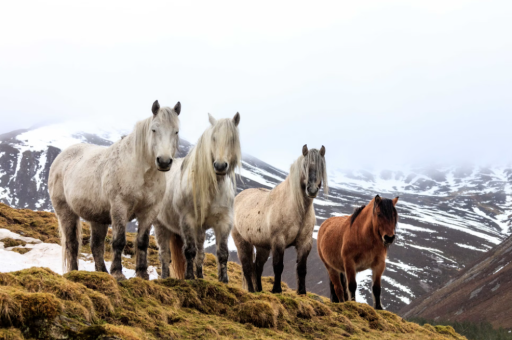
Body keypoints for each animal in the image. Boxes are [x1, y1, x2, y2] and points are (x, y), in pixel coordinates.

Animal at [46, 99, 182, 280]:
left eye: (176, 131)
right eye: (154, 129)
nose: (164, 161)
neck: (140, 171)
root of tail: (61, 158)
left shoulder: (149, 211)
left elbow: (142, 242)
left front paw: (142, 274)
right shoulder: (120, 207)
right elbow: (119, 240)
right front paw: (118, 273)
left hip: (97, 218)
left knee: (96, 245)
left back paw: (102, 273)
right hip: (66, 212)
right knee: (72, 244)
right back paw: (74, 272)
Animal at [155, 113, 241, 282]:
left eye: (232, 139)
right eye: (213, 138)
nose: (220, 166)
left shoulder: (224, 222)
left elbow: (222, 253)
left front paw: (223, 280)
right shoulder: (188, 220)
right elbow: (189, 251)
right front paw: (189, 277)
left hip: (200, 231)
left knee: (200, 254)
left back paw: (200, 276)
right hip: (161, 226)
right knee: (165, 255)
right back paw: (165, 277)